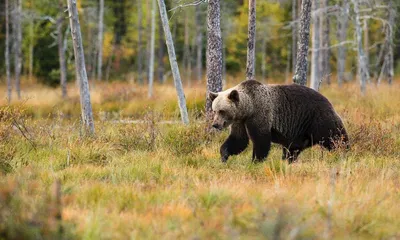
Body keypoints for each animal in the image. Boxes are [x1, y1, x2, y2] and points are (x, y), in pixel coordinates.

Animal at [211, 80, 348, 163]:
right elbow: (238, 140)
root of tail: (328, 100)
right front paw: (224, 155)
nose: (215, 124)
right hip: (299, 132)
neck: (248, 109)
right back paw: (288, 160)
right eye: (214, 110)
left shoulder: (261, 114)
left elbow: (261, 140)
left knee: (335, 137)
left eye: (222, 111)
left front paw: (256, 160)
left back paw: (344, 152)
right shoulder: (240, 122)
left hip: (317, 119)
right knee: (292, 149)